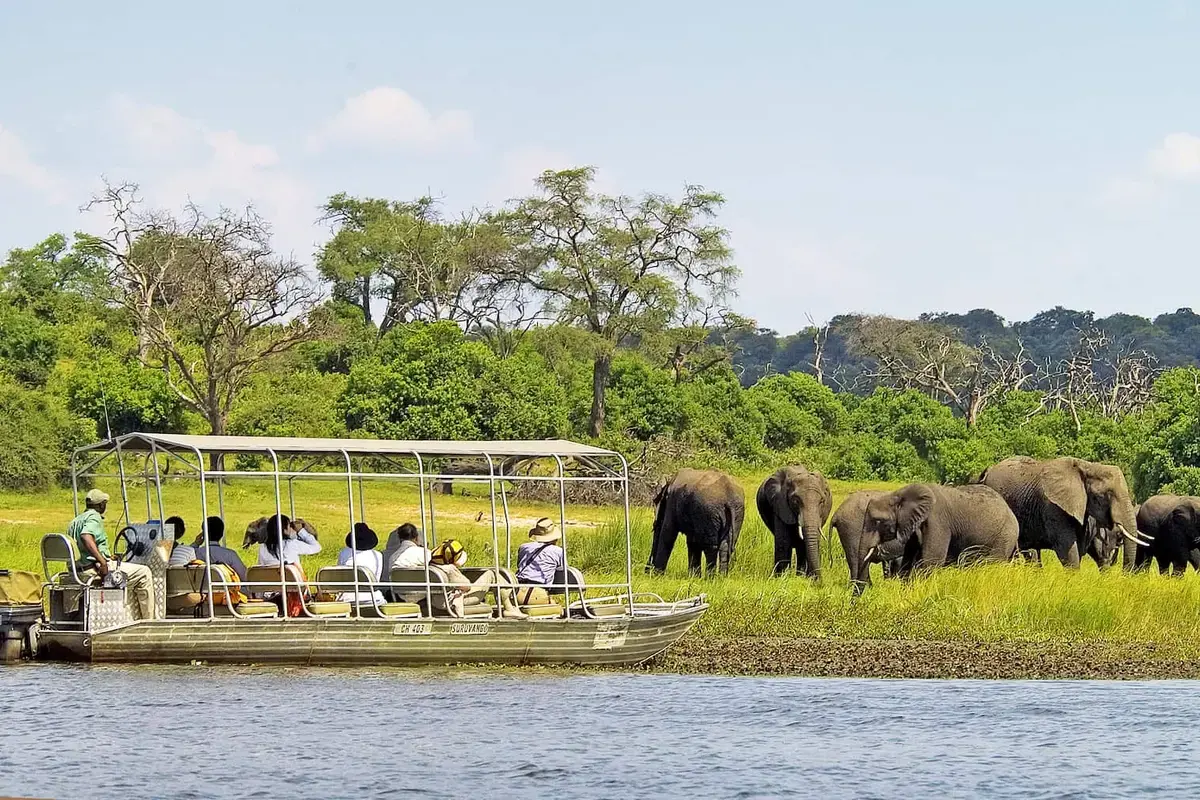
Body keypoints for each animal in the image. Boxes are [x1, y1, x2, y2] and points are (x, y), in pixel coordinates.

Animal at [859, 483, 1020, 571]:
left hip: (1005, 535)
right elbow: (909, 560)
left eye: (878, 521)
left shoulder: (938, 521)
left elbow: (932, 560)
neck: (898, 494)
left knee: (993, 562)